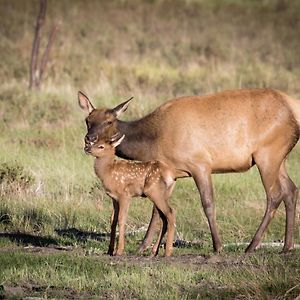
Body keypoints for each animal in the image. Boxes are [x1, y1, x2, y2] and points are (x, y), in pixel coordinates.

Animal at [78, 89, 298, 253]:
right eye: (88, 120)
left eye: (109, 121)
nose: (89, 139)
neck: (153, 142)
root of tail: (293, 108)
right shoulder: (169, 173)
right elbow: (157, 211)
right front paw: (144, 248)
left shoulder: (200, 163)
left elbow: (207, 203)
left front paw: (218, 246)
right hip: (280, 157)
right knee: (291, 189)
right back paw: (286, 247)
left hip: (267, 153)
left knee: (275, 194)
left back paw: (252, 246)